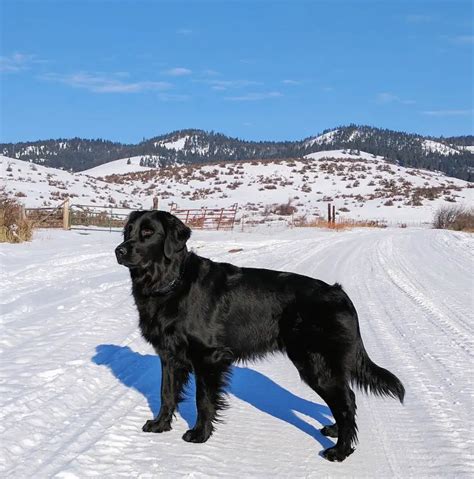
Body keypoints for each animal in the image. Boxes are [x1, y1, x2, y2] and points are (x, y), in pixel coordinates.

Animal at [115, 211, 404, 462]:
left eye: (148, 232)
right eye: (128, 230)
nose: (119, 250)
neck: (171, 283)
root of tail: (341, 293)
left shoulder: (208, 357)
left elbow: (203, 400)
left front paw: (200, 434)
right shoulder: (169, 355)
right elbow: (166, 393)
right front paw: (160, 425)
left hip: (316, 364)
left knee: (345, 403)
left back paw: (340, 451)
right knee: (347, 399)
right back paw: (334, 431)